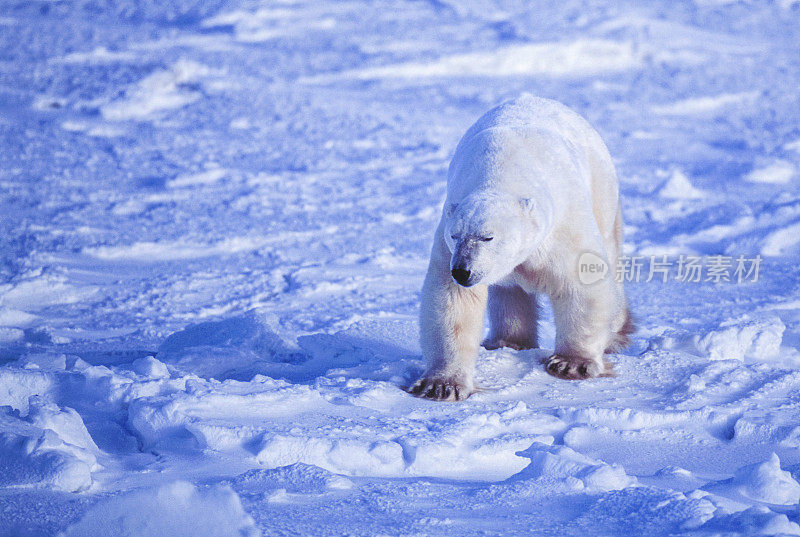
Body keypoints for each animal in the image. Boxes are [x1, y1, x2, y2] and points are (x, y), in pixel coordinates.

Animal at [412, 94, 632, 400]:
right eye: (455, 235)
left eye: (487, 237)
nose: (463, 272)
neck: (503, 171)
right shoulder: (447, 242)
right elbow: (453, 301)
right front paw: (442, 385)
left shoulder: (562, 224)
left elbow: (581, 282)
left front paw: (571, 364)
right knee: (510, 292)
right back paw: (508, 341)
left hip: (602, 192)